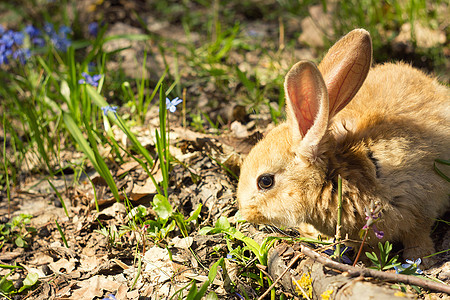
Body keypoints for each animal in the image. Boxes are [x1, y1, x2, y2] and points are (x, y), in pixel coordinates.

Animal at [237, 28, 448, 266]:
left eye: (265, 181)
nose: (245, 212)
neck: (335, 175)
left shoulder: (420, 201)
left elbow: (418, 233)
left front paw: (420, 259)